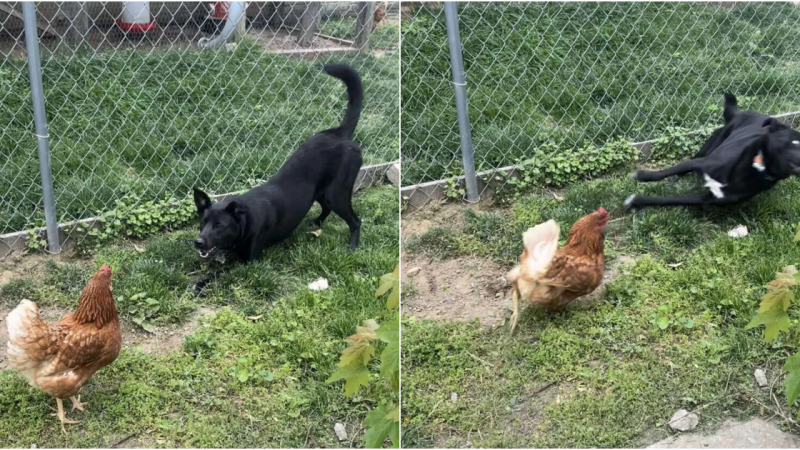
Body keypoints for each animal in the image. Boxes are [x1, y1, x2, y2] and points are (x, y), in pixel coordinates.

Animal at [194, 65, 366, 266]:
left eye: (219, 225)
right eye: (202, 222)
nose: (198, 242)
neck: (246, 220)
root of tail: (339, 133)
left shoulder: (249, 261)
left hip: (337, 194)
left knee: (355, 221)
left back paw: (353, 246)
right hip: (321, 192)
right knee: (327, 208)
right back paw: (317, 223)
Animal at [624, 94, 800, 210]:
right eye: (795, 143)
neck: (757, 167)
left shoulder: (706, 199)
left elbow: (670, 200)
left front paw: (636, 200)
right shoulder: (701, 162)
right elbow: (664, 172)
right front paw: (641, 175)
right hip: (710, 145)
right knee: (686, 165)